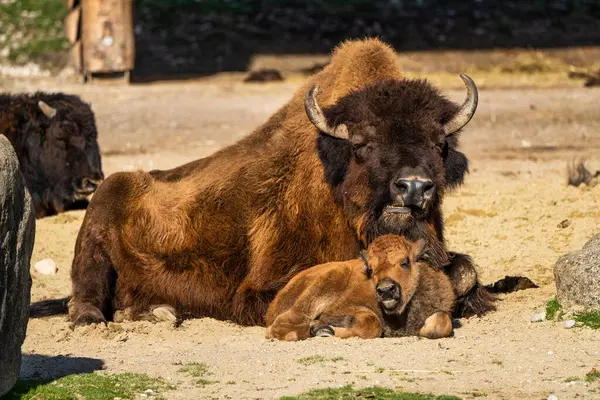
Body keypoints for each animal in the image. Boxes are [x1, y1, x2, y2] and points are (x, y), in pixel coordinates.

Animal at [30, 37, 494, 326]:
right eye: (363, 144)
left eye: (439, 143)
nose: (413, 187)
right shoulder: (260, 287)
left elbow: (464, 272)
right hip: (97, 227)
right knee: (84, 292)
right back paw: (100, 319)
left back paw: (159, 312)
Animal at [264, 234, 452, 340]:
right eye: (371, 269)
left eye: (405, 262)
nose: (385, 290)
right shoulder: (339, 309)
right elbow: (372, 323)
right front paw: (324, 329)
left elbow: (442, 323)